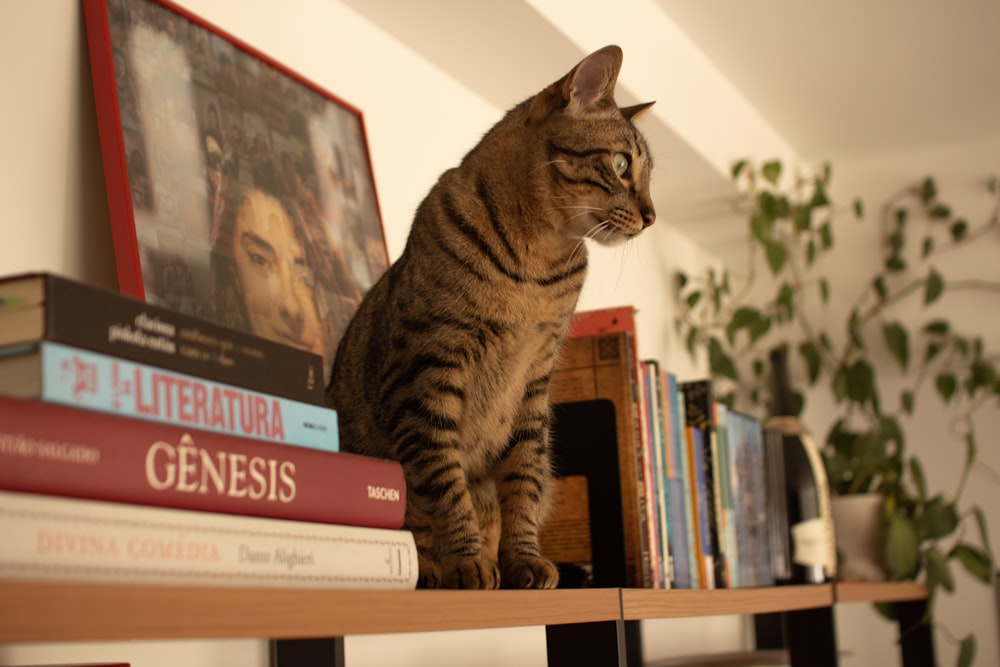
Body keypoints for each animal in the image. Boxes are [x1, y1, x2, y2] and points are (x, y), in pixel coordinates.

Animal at [326, 45, 656, 588]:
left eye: (650, 177)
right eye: (621, 162)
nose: (652, 217)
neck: (537, 265)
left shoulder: (534, 383)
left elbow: (522, 484)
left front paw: (521, 558)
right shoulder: (426, 371)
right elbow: (444, 480)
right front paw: (466, 559)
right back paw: (430, 567)